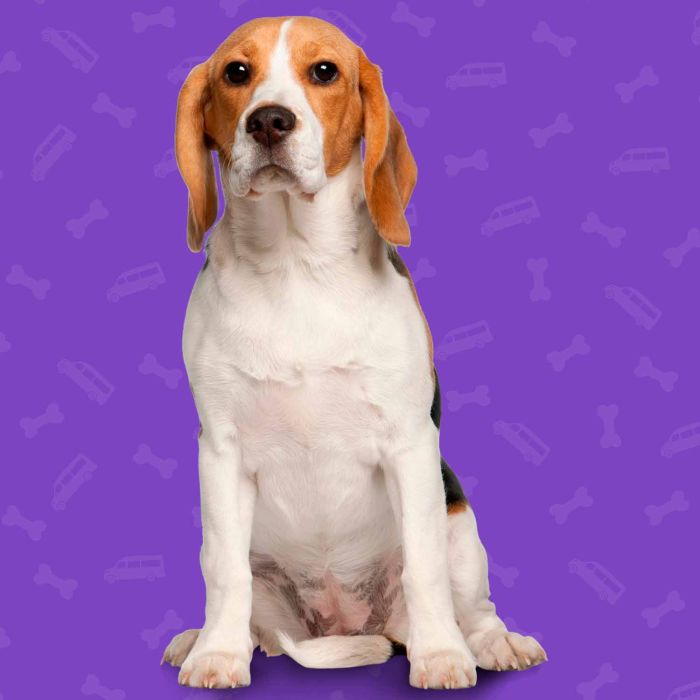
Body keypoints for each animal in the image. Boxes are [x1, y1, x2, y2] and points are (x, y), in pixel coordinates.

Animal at [162, 15, 547, 690]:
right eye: (236, 72)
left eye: (325, 72)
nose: (269, 121)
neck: (296, 265)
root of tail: (344, 622)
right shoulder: (221, 449)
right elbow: (224, 570)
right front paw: (218, 656)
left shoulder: (410, 443)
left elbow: (424, 567)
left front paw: (441, 657)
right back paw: (201, 639)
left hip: (460, 524)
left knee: (472, 604)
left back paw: (494, 644)